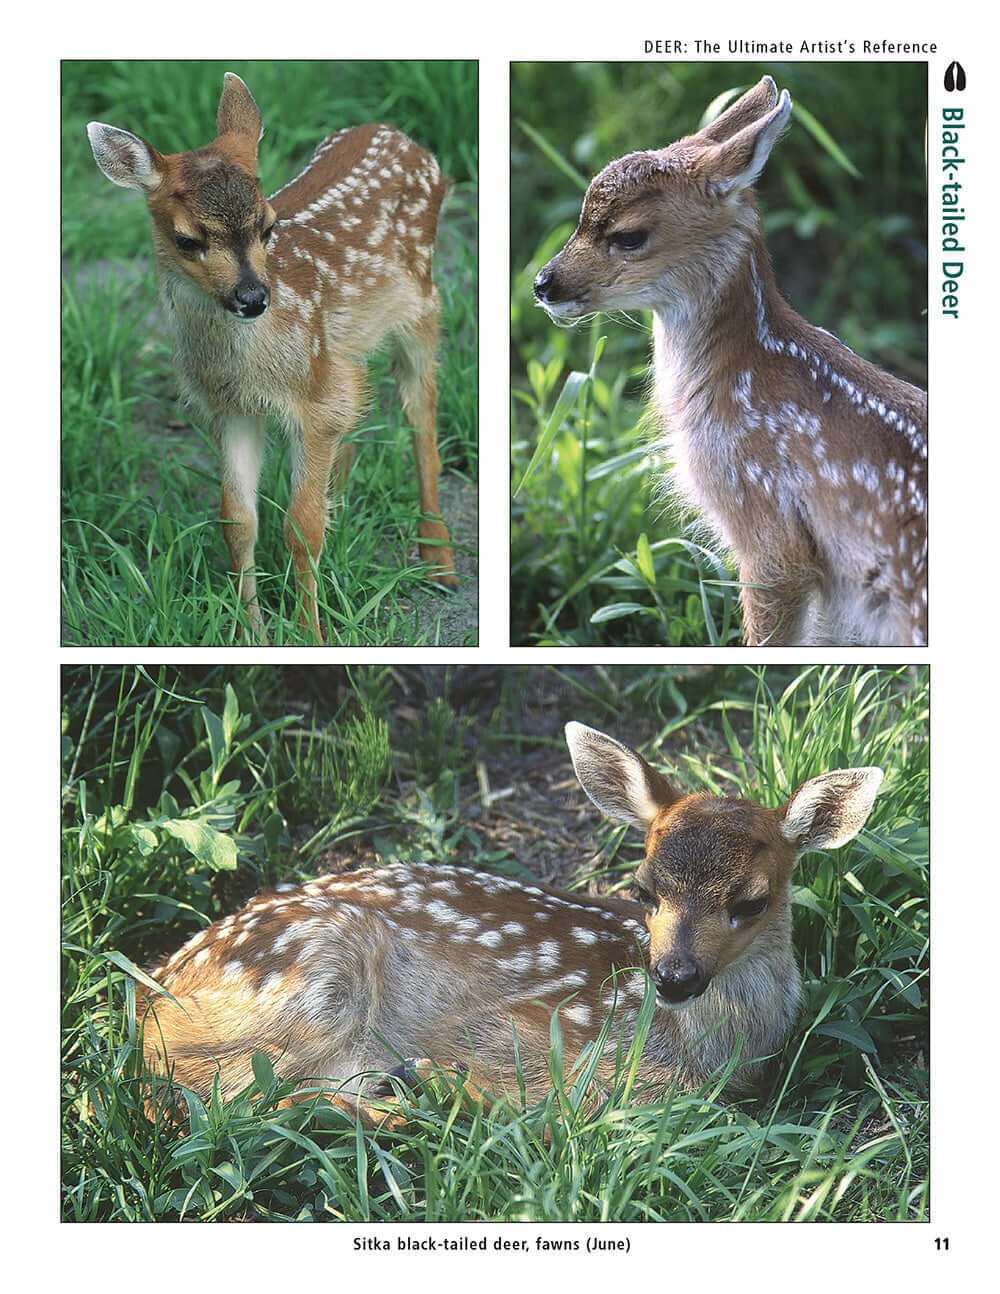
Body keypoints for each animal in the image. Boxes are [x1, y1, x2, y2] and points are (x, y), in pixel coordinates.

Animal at [87, 73, 458, 644]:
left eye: (267, 225)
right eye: (186, 239)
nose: (252, 298)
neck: (248, 364)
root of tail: (401, 135)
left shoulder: (315, 400)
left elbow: (299, 528)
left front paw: (310, 635)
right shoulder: (233, 409)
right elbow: (238, 521)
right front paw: (251, 634)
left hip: (422, 308)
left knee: (423, 423)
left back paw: (439, 561)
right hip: (351, 350)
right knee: (361, 414)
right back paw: (345, 520)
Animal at [134, 721, 882, 1128]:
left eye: (751, 901)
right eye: (643, 889)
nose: (673, 975)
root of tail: (148, 1003)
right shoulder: (551, 1036)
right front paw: (453, 1085)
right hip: (311, 978)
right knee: (225, 1098)